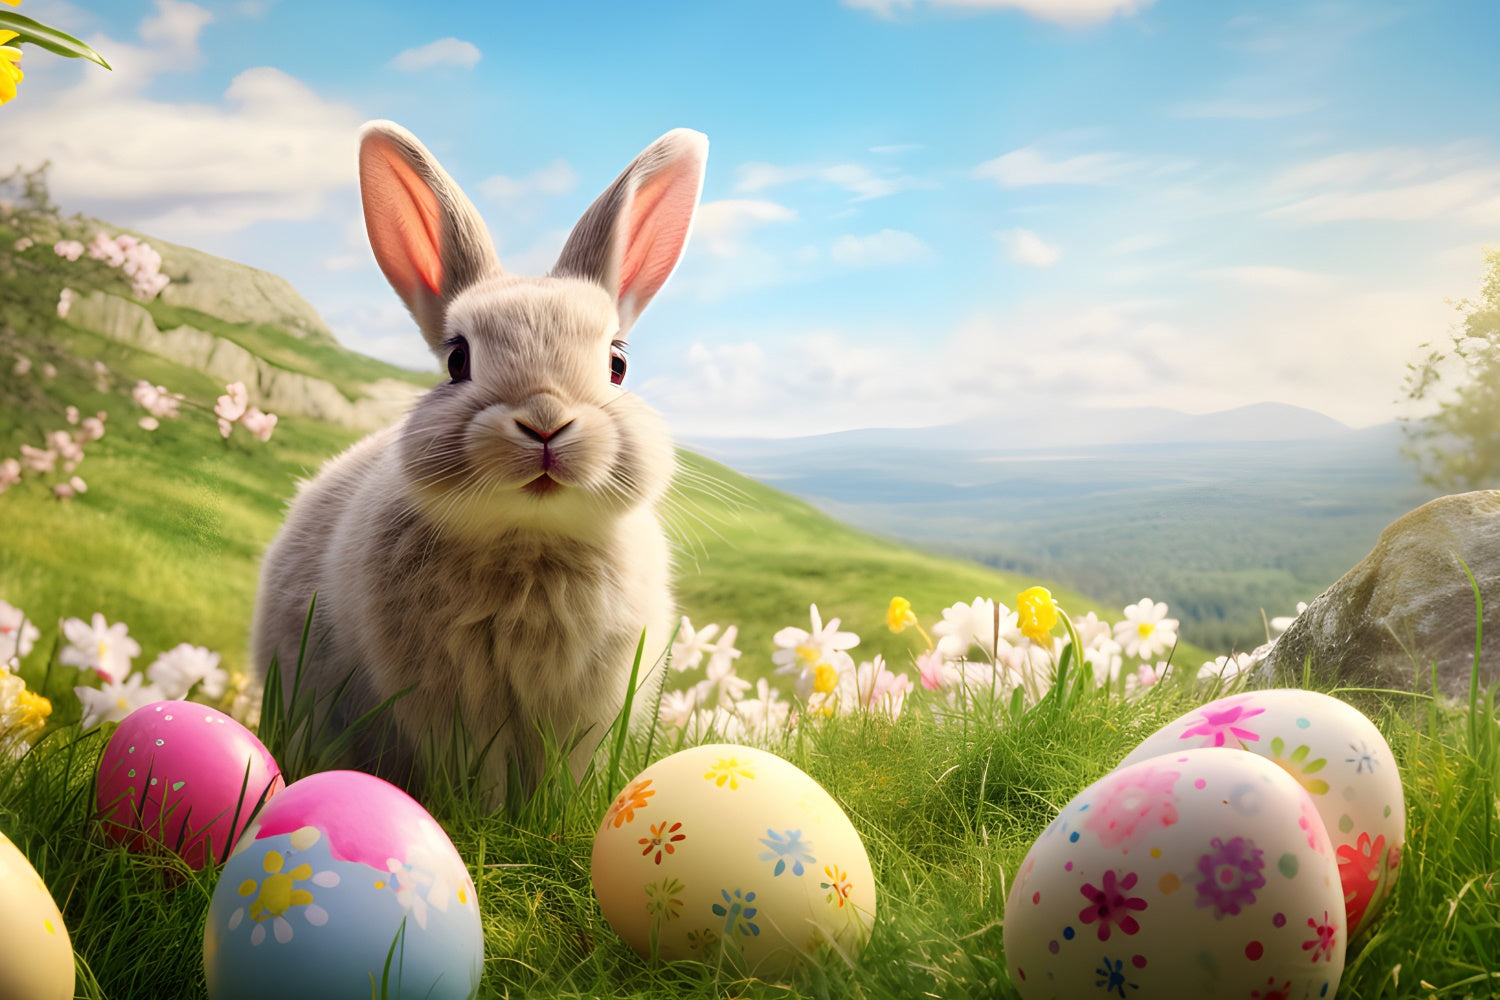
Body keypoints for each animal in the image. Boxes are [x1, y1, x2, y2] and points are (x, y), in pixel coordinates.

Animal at [250, 120, 707, 808]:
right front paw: (481, 817)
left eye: (618, 364)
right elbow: (478, 774)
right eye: (457, 360)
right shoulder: (447, 702)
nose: (544, 420)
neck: (530, 538)